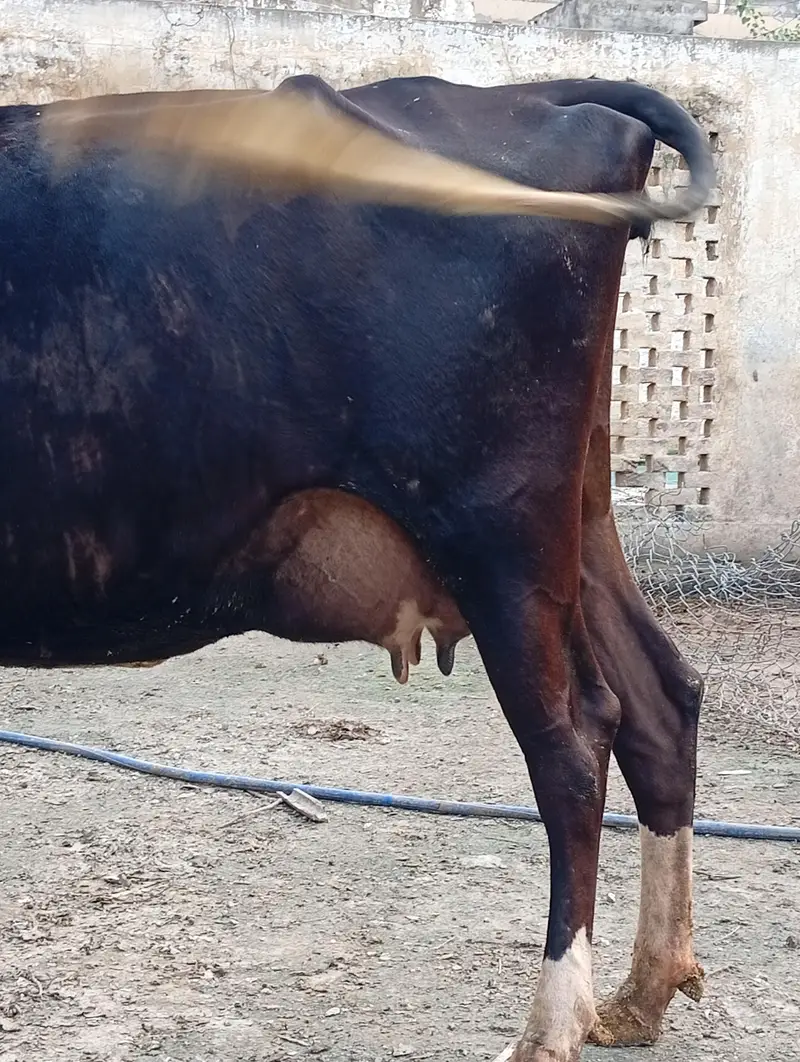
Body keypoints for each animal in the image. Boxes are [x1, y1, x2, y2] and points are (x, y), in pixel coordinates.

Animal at [0, 74, 714, 1062]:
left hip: (495, 528)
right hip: (580, 516)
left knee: (575, 742)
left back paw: (551, 1027)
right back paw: (641, 993)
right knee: (658, 697)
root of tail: (525, 94)